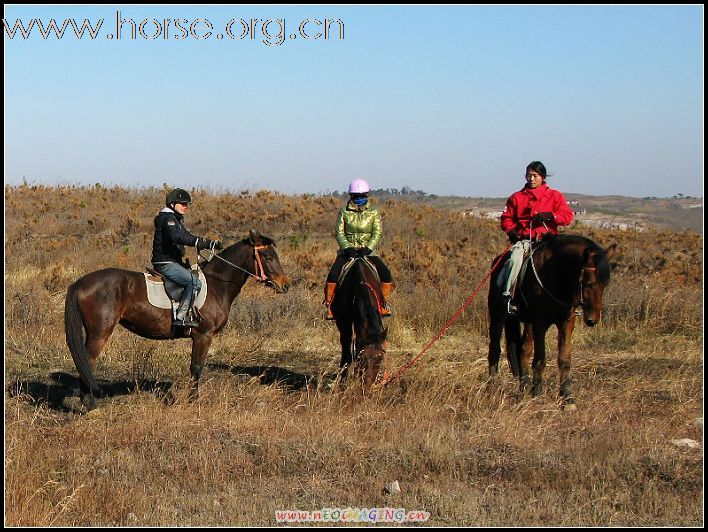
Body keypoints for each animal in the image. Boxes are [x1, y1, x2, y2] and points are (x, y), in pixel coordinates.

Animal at [63, 229, 290, 408]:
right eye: (267, 256)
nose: (285, 285)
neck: (217, 285)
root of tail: (81, 282)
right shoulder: (203, 336)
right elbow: (196, 368)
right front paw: (193, 400)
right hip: (100, 333)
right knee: (86, 361)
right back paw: (89, 403)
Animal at [330, 260, 388, 392]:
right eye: (361, 358)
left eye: (380, 358)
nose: (367, 388)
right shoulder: (344, 324)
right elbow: (348, 354)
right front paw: (343, 384)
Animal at [490, 233, 616, 408]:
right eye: (589, 282)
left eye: (605, 284)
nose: (593, 320)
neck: (557, 276)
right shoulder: (540, 323)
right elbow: (540, 358)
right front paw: (537, 391)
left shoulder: (566, 322)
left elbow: (564, 359)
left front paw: (567, 397)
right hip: (498, 315)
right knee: (495, 349)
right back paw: (492, 385)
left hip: (528, 323)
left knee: (523, 350)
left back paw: (524, 386)